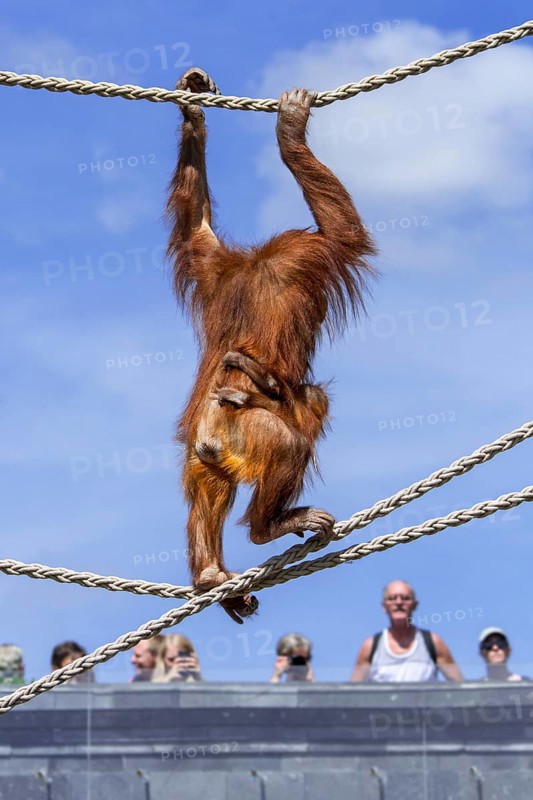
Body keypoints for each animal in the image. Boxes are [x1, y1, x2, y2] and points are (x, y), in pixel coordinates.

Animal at [167, 68, 376, 623]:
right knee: (297, 430)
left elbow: (196, 223)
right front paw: (291, 134)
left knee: (210, 484)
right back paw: (269, 527)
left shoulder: (211, 263)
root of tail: (212, 424)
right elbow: (344, 230)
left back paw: (212, 577)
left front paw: (193, 107)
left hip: (205, 450)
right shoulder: (314, 252)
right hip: (245, 430)